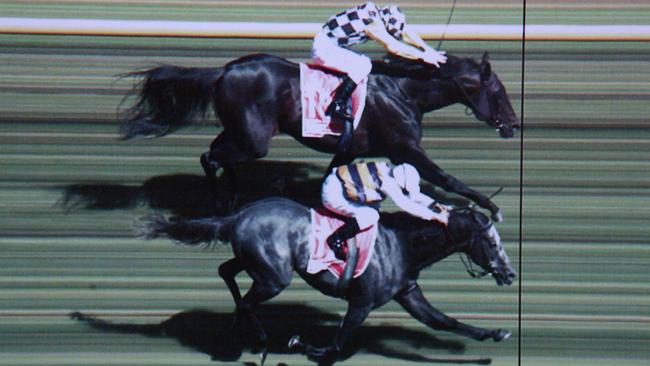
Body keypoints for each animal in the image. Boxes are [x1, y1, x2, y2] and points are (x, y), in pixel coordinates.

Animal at [120, 51, 516, 220]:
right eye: (498, 94)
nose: (512, 124)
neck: (404, 92)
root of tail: (225, 71)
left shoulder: (351, 149)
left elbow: (332, 178)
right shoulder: (405, 148)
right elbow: (448, 179)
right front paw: (491, 205)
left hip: (240, 132)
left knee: (216, 155)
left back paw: (233, 199)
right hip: (253, 141)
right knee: (210, 157)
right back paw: (220, 205)